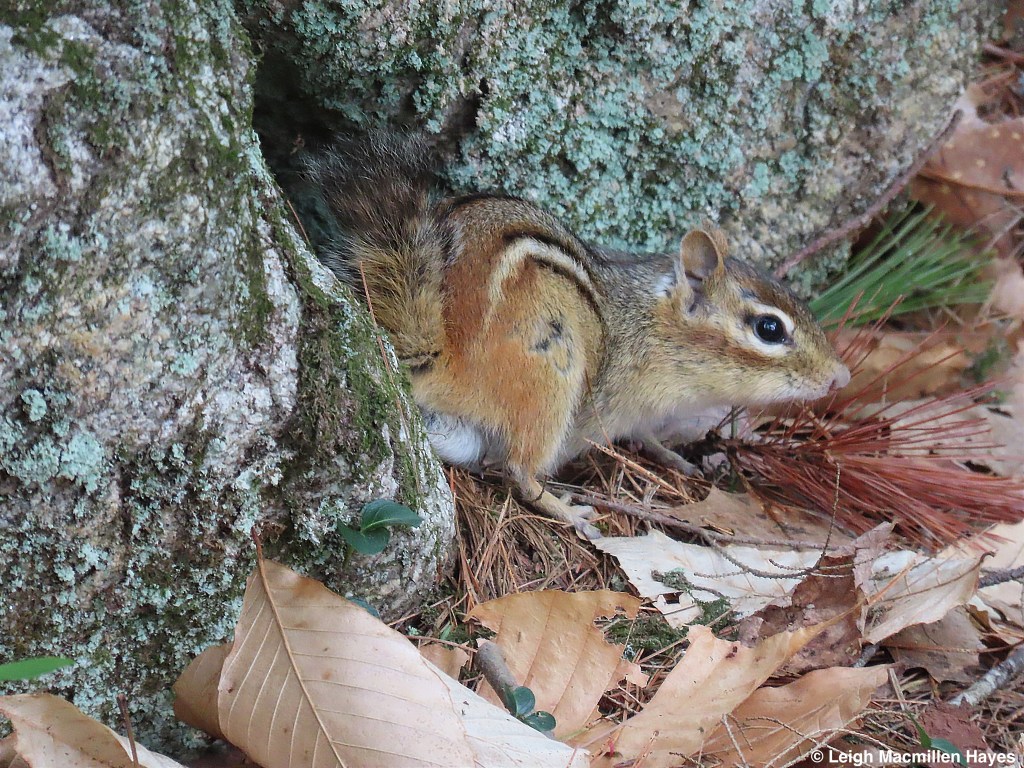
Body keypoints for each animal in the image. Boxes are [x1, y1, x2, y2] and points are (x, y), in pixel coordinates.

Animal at [303, 134, 850, 539]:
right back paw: (572, 512)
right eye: (769, 328)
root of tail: (439, 356)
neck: (650, 325)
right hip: (551, 376)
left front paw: (673, 455)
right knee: (520, 472)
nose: (841, 377)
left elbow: (648, 435)